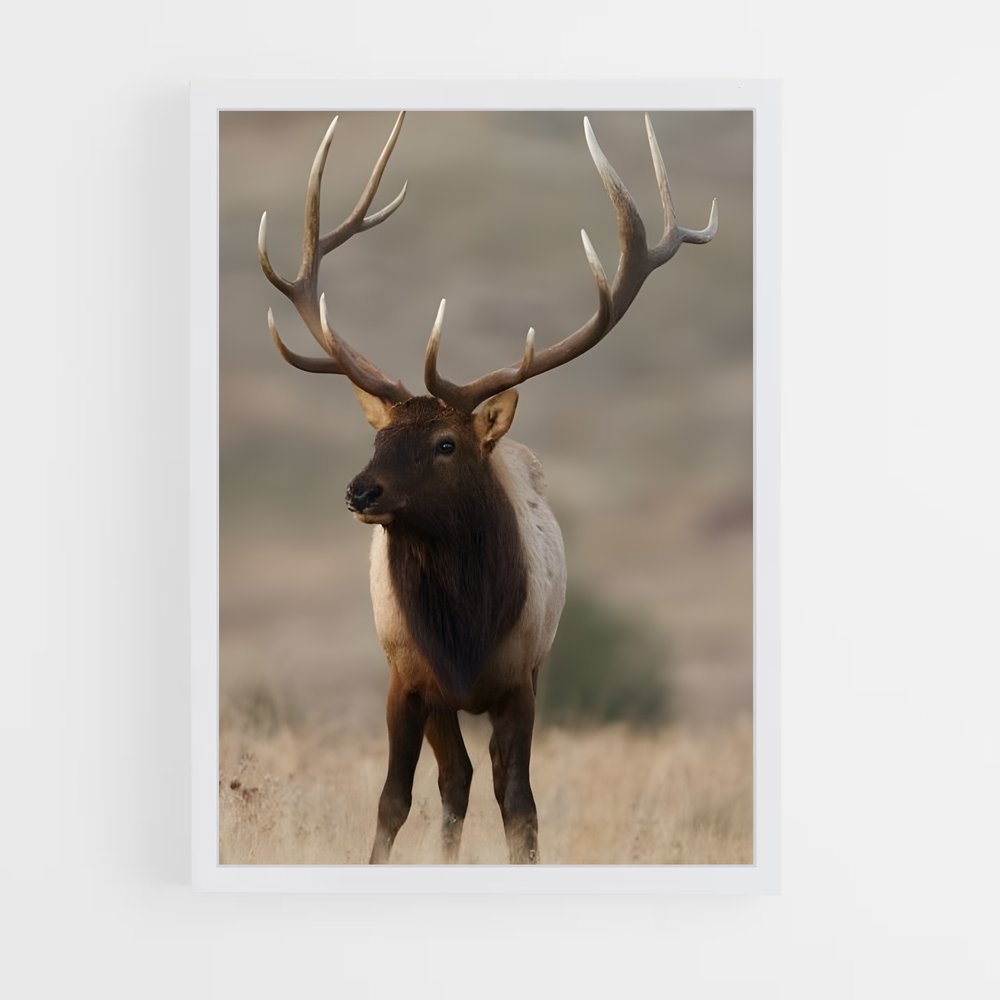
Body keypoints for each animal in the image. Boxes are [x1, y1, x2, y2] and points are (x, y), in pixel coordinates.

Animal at [257, 111, 717, 864]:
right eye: (378, 439)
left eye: (446, 444)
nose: (359, 492)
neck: (466, 632)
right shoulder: (407, 678)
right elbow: (394, 800)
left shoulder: (521, 678)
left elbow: (521, 805)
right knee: (454, 783)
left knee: (479, 782)